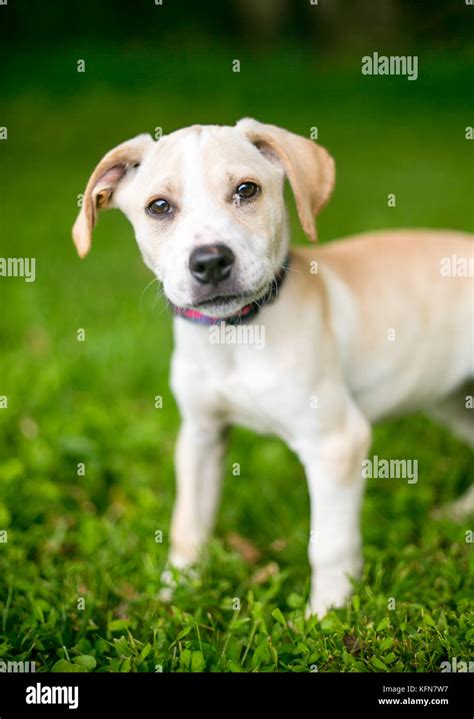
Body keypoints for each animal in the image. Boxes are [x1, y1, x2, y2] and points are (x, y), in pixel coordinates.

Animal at [72, 121, 472, 616]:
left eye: (247, 190)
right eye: (159, 207)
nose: (210, 261)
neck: (234, 337)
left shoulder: (336, 444)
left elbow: (330, 544)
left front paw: (327, 616)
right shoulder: (201, 435)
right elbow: (189, 524)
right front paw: (174, 596)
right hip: (453, 400)